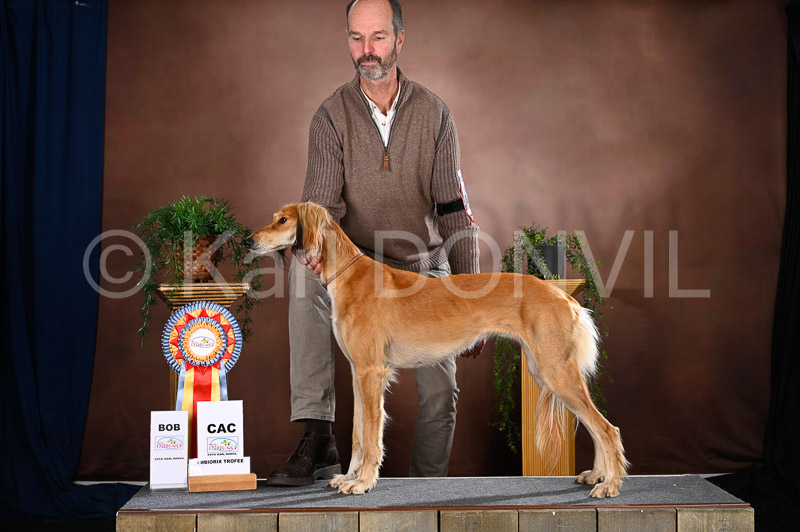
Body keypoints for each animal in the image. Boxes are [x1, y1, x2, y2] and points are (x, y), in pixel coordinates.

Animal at [246, 202, 628, 497]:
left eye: (283, 220)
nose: (249, 241)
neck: (350, 276)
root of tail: (563, 296)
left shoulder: (372, 372)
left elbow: (371, 435)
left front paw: (364, 482)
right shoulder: (358, 372)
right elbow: (356, 433)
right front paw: (349, 476)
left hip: (554, 371)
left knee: (607, 428)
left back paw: (610, 484)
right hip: (545, 370)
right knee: (595, 425)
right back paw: (597, 475)